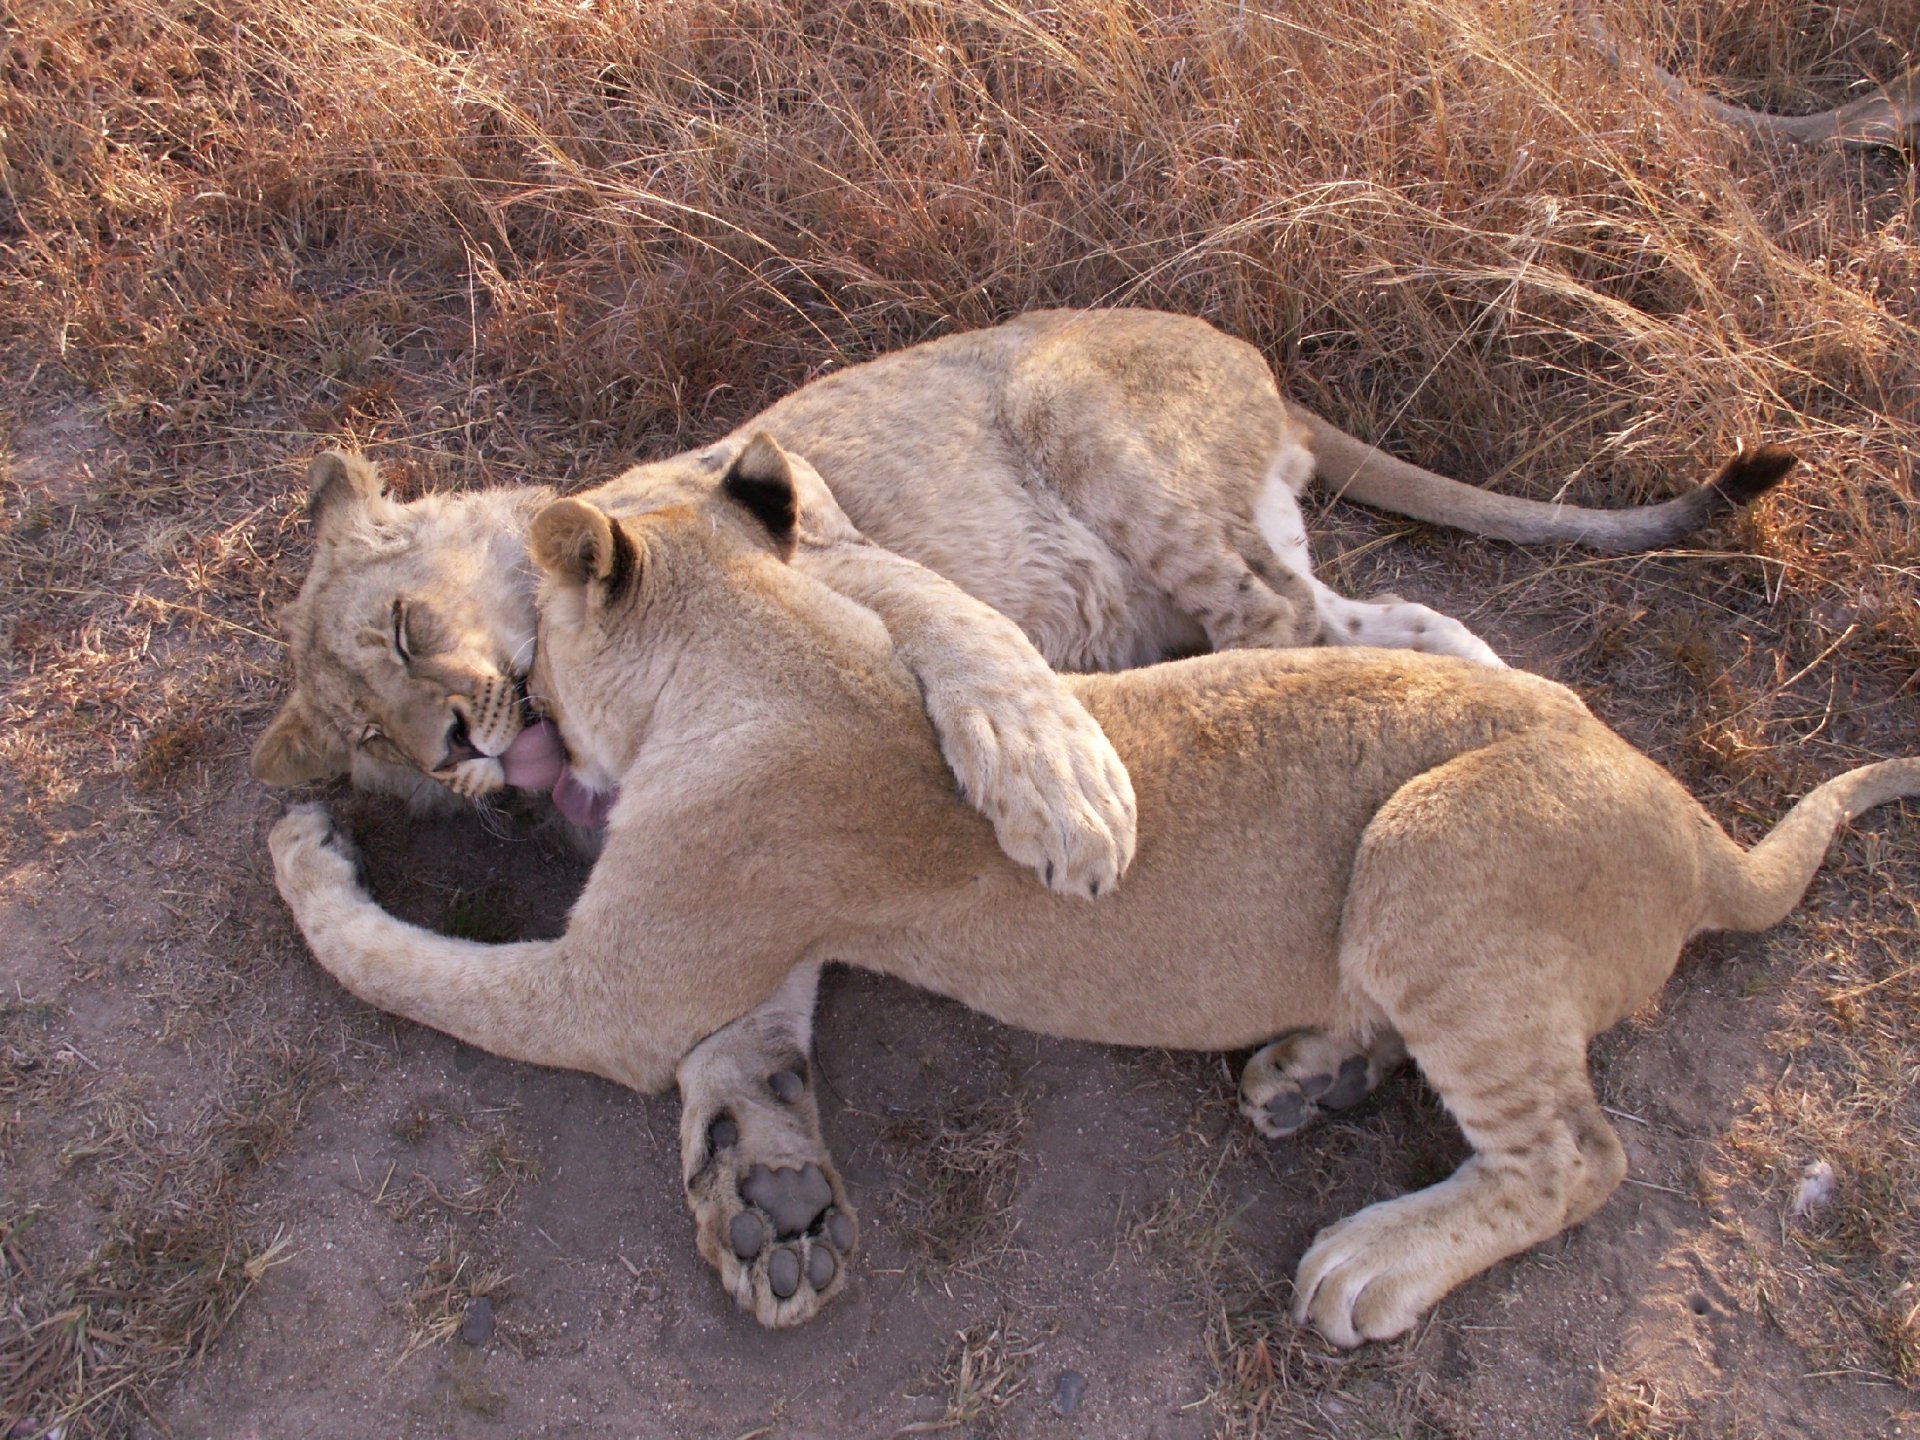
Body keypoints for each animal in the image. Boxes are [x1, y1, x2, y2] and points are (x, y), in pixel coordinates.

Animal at [251, 307, 1889, 1344]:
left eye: (403, 635)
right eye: (373, 746)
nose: (461, 747)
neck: (747, 639)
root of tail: (1697, 830)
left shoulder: (623, 956)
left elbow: (405, 967)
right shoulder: (709, 921)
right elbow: (746, 1042)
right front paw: (767, 1198)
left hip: (1176, 532)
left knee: (1576, 1150)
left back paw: (1369, 1259)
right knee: (1396, 623)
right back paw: (1320, 1062)